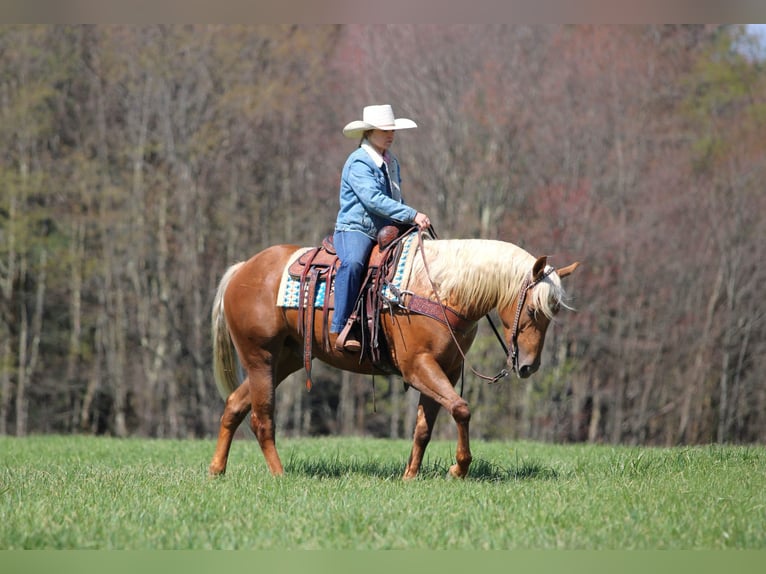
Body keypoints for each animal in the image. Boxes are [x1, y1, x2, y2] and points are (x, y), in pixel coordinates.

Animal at [208, 233, 579, 479]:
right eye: (533, 310)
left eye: (555, 311)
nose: (529, 366)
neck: (438, 290)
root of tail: (243, 269)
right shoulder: (418, 367)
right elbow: (461, 409)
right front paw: (458, 468)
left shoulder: (445, 368)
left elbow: (424, 427)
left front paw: (410, 476)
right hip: (261, 358)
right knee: (261, 419)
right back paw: (280, 474)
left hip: (285, 360)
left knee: (235, 406)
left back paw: (216, 470)